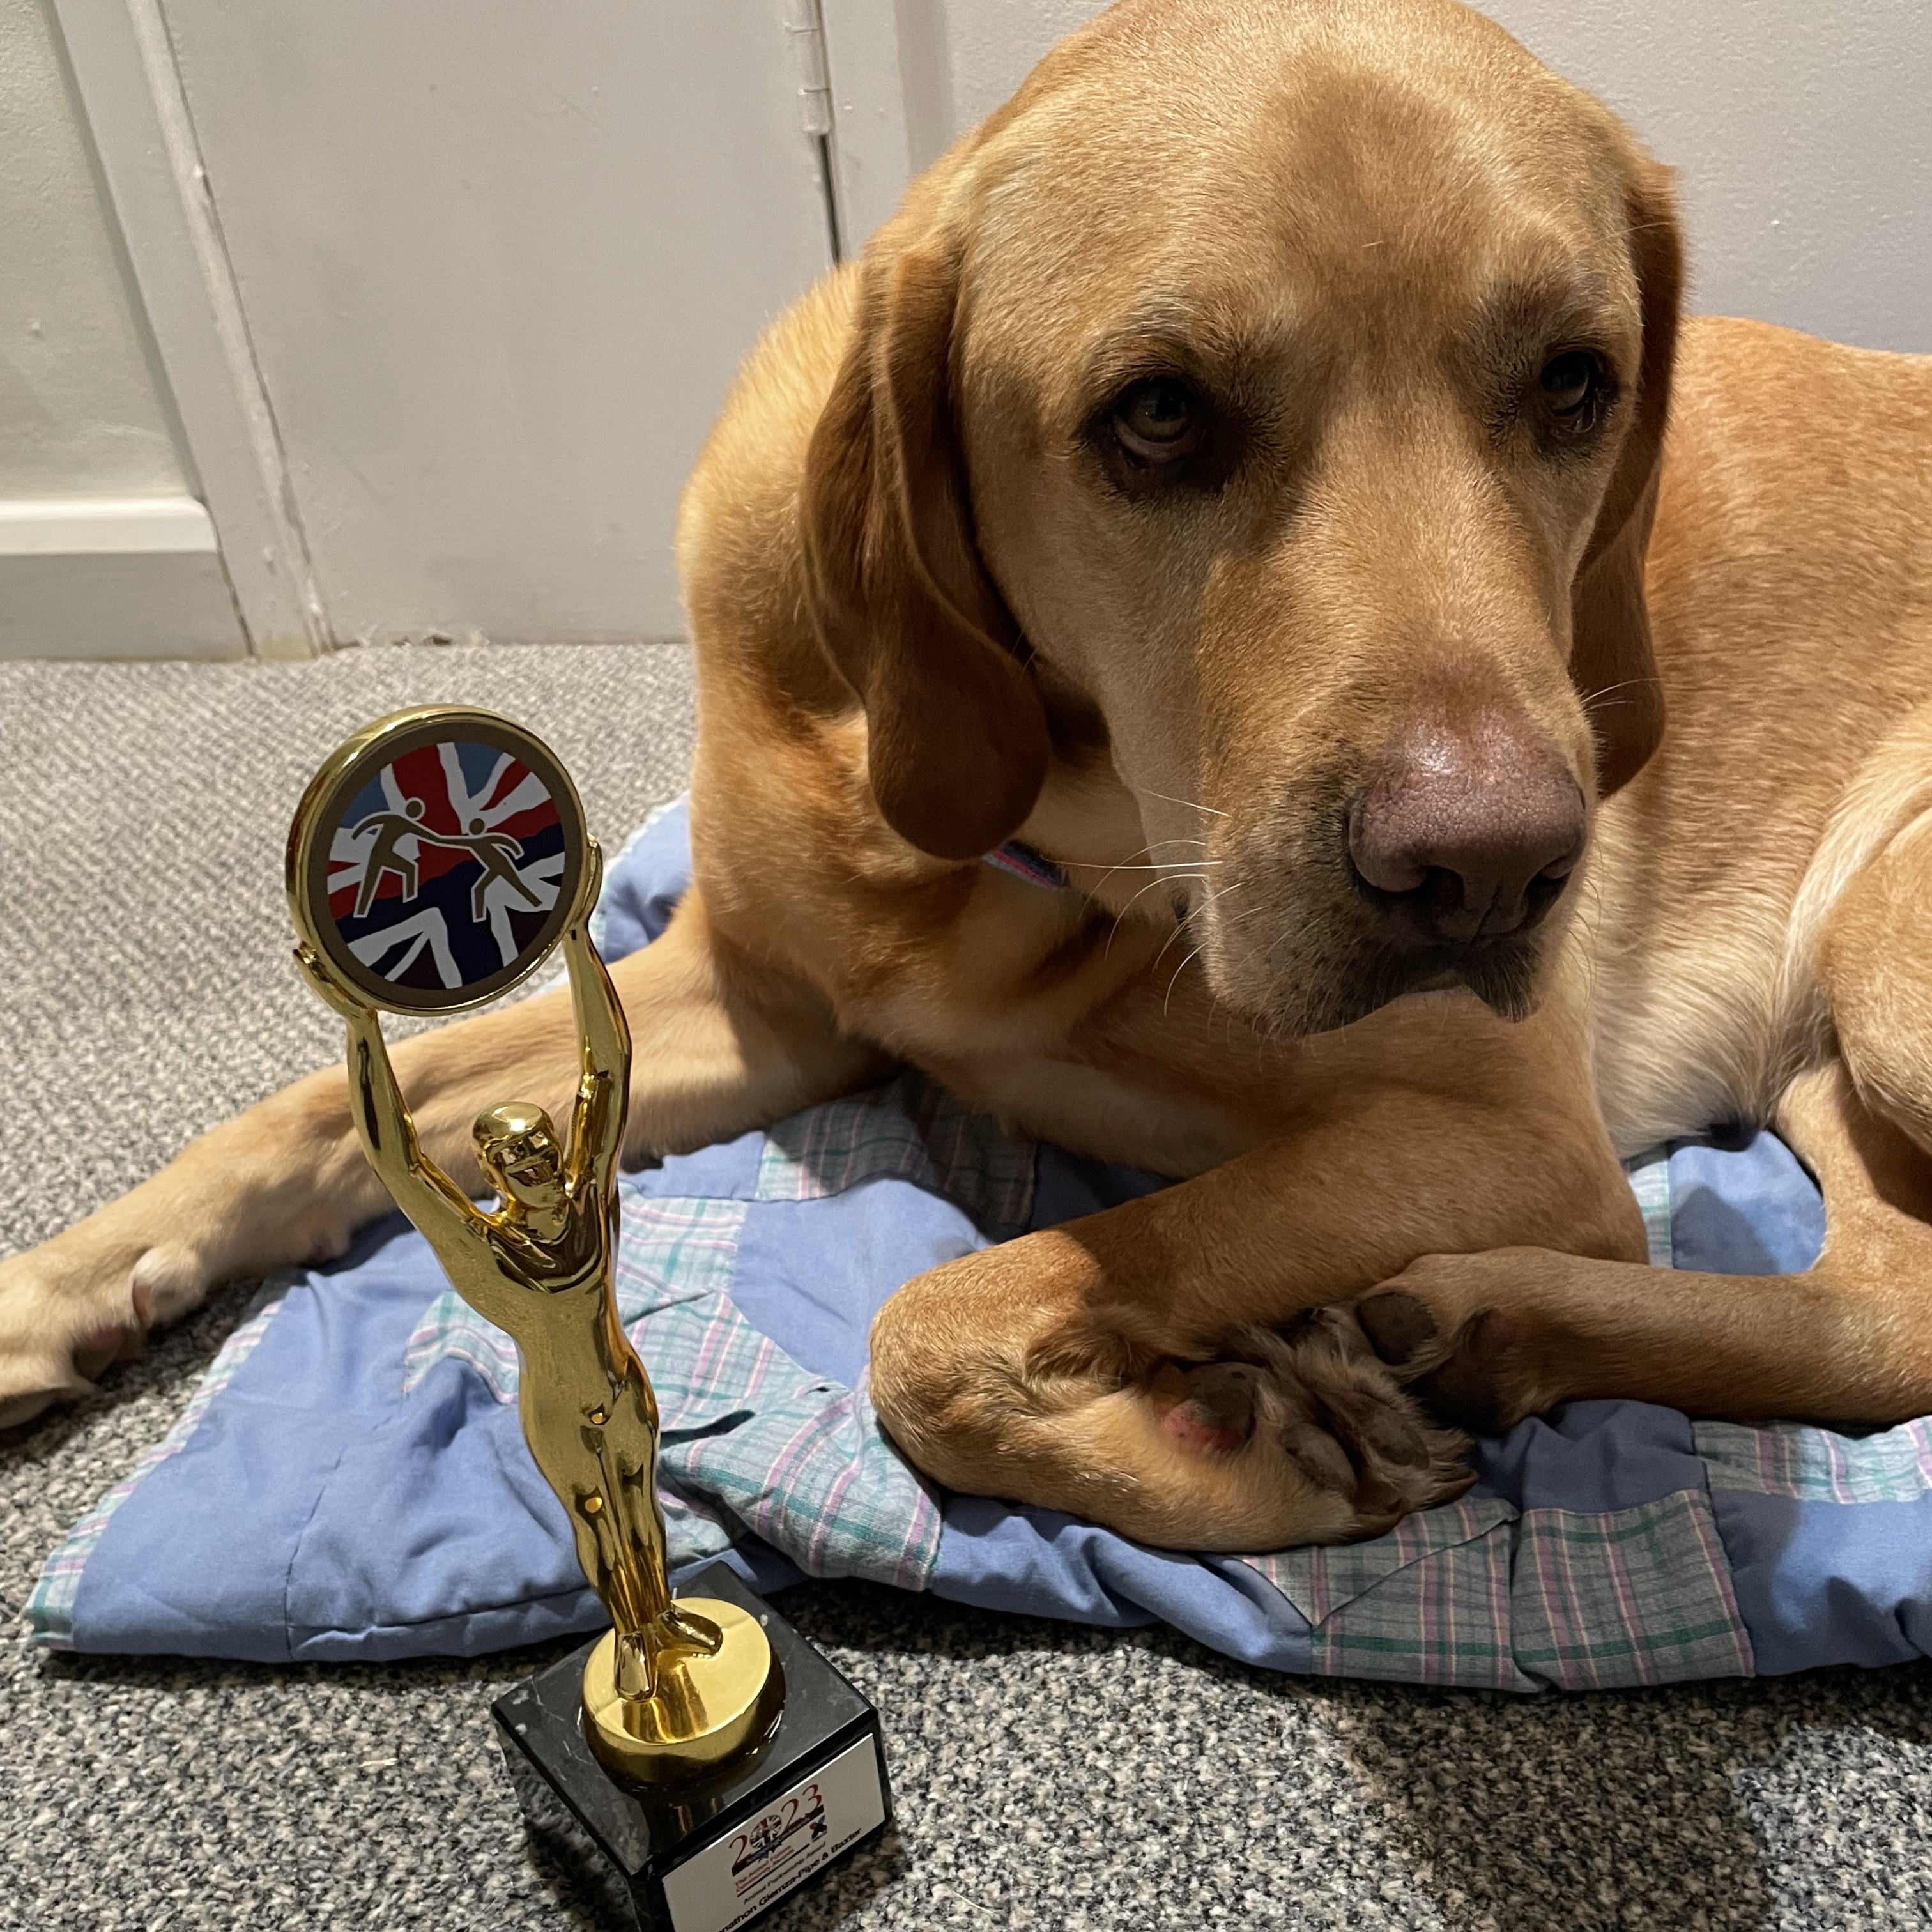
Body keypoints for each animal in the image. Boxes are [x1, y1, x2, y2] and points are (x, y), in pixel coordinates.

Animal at [3, 0, 1932, 1545]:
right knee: (1892, 1299)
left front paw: (1251, 1449)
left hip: (1883, 964)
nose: (1499, 870)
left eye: (1576, 382)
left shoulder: (1508, 1139)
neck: (1012, 849)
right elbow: (320, 1104)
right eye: (1158, 413)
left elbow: (934, 1322)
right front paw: (63, 1284)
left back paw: (1479, 1324)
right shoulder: (754, 1006)